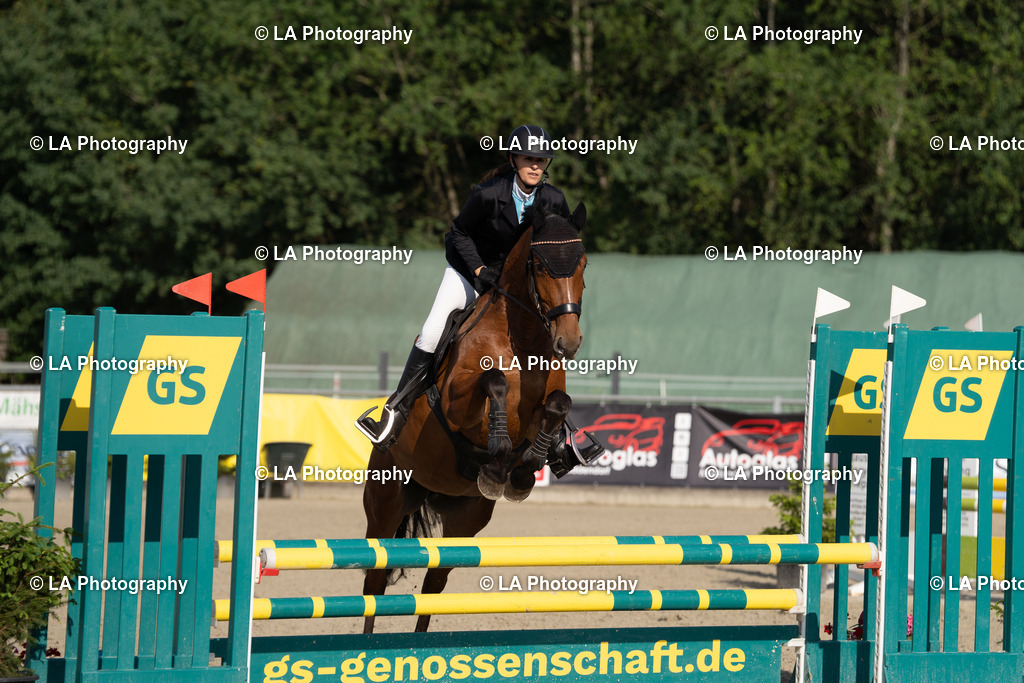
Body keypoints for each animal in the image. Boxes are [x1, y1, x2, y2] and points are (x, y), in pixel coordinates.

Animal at [361, 202, 593, 633]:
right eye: (540, 266)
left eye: (583, 263)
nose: (567, 343)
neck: (523, 337)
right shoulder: (456, 401)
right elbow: (494, 380)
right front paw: (499, 458)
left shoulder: (542, 406)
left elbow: (559, 404)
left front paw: (521, 472)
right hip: (386, 500)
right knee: (374, 580)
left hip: (465, 520)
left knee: (433, 584)